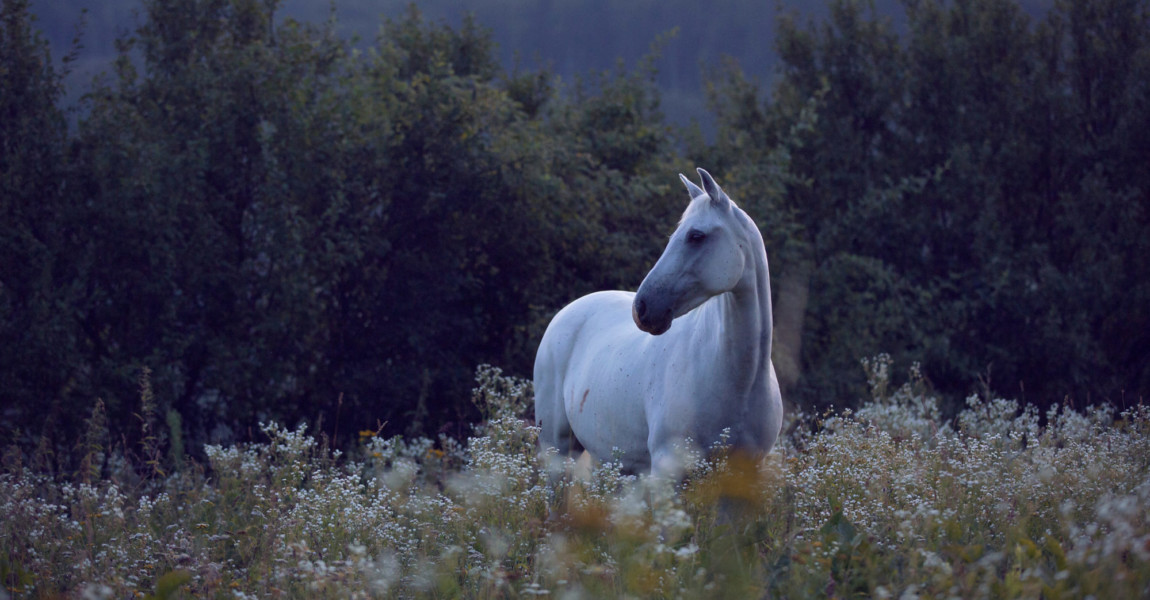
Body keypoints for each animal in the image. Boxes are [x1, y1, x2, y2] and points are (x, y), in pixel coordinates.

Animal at [533, 165, 786, 473]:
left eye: (696, 236)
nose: (641, 308)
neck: (741, 379)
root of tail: (565, 313)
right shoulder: (668, 469)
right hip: (558, 449)